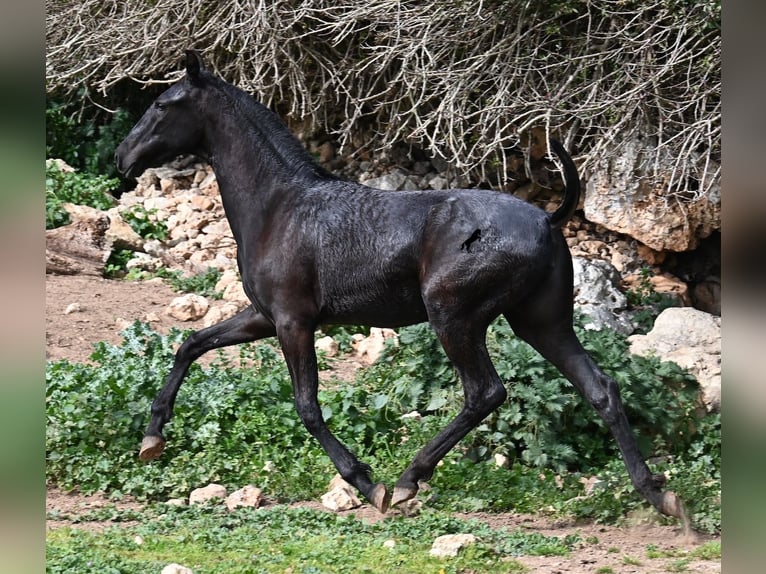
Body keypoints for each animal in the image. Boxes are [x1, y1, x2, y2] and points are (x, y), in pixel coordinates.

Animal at [115, 50, 684, 520]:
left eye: (163, 105)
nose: (123, 157)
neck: (281, 206)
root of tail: (547, 220)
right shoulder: (263, 316)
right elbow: (191, 345)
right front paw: (152, 438)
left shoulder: (294, 321)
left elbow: (307, 405)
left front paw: (367, 483)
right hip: (541, 322)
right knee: (600, 388)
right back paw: (660, 497)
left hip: (453, 315)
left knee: (485, 392)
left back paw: (409, 479)